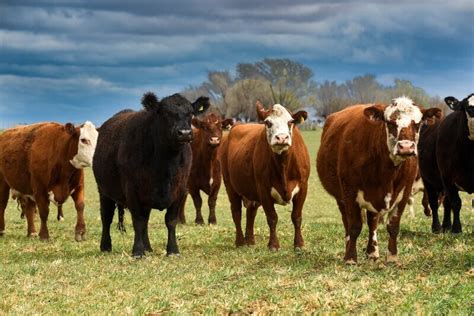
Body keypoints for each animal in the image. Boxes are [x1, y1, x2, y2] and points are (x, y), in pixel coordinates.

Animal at [92, 91, 209, 256]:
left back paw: (148, 247)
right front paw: (138, 251)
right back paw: (106, 246)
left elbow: (170, 220)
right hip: (103, 190)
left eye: (191, 113)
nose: (185, 133)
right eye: (165, 113)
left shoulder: (180, 189)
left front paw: (173, 250)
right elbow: (138, 220)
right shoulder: (132, 190)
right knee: (106, 217)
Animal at [219, 101, 310, 252]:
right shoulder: (263, 189)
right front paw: (273, 245)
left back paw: (250, 241)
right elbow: (272, 217)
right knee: (236, 212)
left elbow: (296, 216)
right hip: (230, 186)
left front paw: (299, 244)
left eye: (290, 121)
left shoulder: (303, 187)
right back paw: (240, 242)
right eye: (268, 122)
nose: (282, 138)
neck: (283, 165)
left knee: (251, 212)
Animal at [314, 97, 440, 264]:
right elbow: (354, 226)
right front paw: (350, 258)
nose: (406, 147)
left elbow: (393, 226)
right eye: (390, 122)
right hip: (340, 198)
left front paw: (392, 256)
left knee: (372, 222)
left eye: (417, 124)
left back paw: (372, 251)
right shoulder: (349, 192)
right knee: (347, 222)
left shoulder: (404, 192)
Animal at [418, 92, 474, 233]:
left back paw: (446, 225)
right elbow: (456, 203)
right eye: (469, 108)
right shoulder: (447, 177)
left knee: (445, 202)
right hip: (429, 180)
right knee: (434, 203)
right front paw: (457, 229)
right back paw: (437, 227)